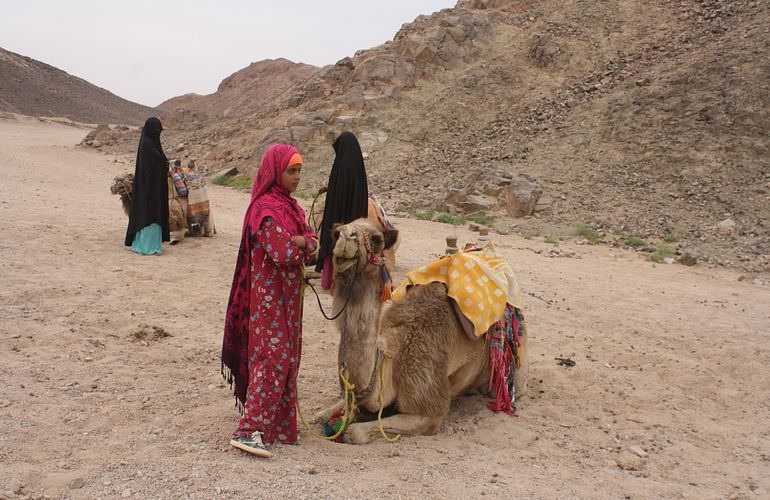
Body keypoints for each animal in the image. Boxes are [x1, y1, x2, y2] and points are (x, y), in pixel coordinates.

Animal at [314, 219, 528, 446]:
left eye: (377, 239)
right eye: (336, 234)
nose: (347, 237)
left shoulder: (428, 406)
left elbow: (354, 432)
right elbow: (320, 415)